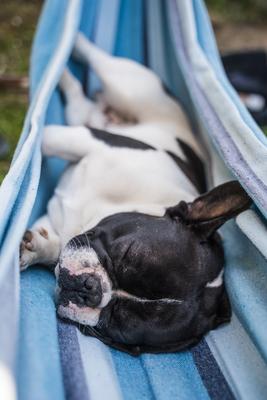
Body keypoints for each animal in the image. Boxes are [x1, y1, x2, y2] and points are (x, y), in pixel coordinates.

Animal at [19, 33, 252, 354]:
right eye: (126, 253)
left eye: (117, 322)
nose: (91, 290)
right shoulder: (92, 142)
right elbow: (49, 138)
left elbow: (53, 245)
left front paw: (32, 247)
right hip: (129, 86)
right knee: (99, 62)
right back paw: (68, 46)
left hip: (90, 110)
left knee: (78, 99)